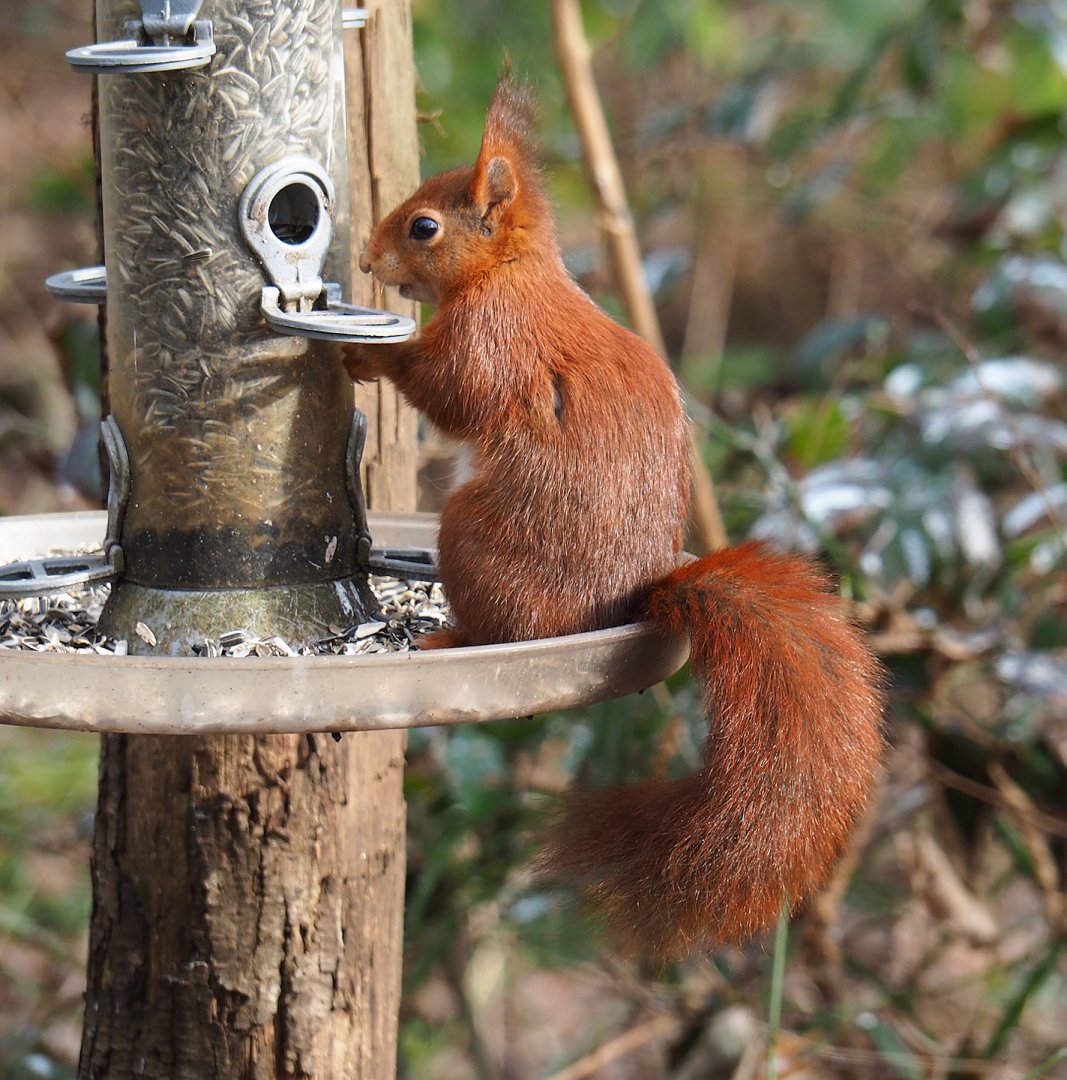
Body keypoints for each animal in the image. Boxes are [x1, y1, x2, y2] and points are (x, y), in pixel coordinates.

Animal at [343, 74, 885, 959]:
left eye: (424, 227)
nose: (363, 261)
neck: (508, 273)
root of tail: (623, 604)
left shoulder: (494, 341)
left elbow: (450, 390)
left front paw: (366, 354)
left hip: (473, 540)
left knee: (510, 631)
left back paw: (453, 637)